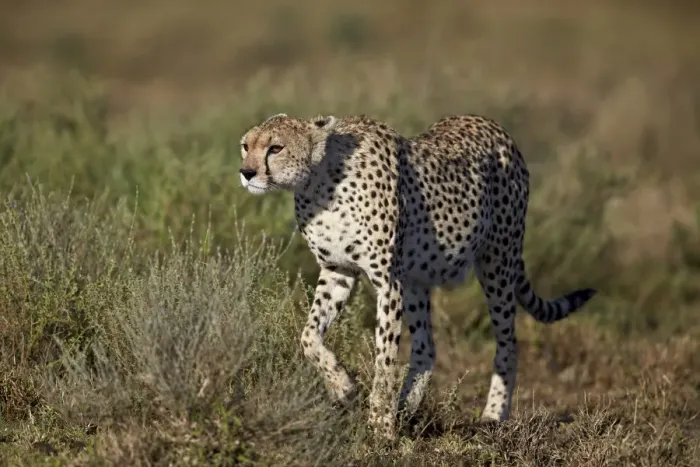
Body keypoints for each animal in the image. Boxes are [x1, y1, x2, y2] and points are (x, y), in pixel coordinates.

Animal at [238, 112, 596, 439]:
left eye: (275, 147)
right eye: (246, 146)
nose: (246, 172)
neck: (318, 181)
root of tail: (492, 125)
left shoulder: (388, 282)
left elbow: (384, 360)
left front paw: (380, 426)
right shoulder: (338, 271)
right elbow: (309, 336)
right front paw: (344, 387)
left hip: (497, 261)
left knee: (508, 343)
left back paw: (492, 415)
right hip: (416, 280)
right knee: (427, 347)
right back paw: (407, 406)